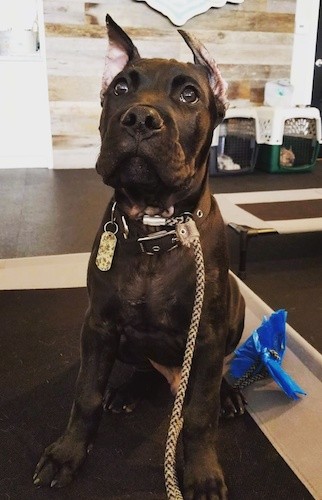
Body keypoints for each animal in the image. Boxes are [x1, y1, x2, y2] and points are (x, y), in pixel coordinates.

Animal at [34, 13, 245, 498]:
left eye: (189, 94)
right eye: (120, 89)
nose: (140, 119)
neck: (155, 226)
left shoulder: (206, 336)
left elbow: (199, 415)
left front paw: (203, 474)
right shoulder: (97, 326)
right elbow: (86, 395)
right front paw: (67, 454)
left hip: (235, 310)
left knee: (211, 382)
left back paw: (226, 394)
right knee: (143, 370)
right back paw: (128, 391)